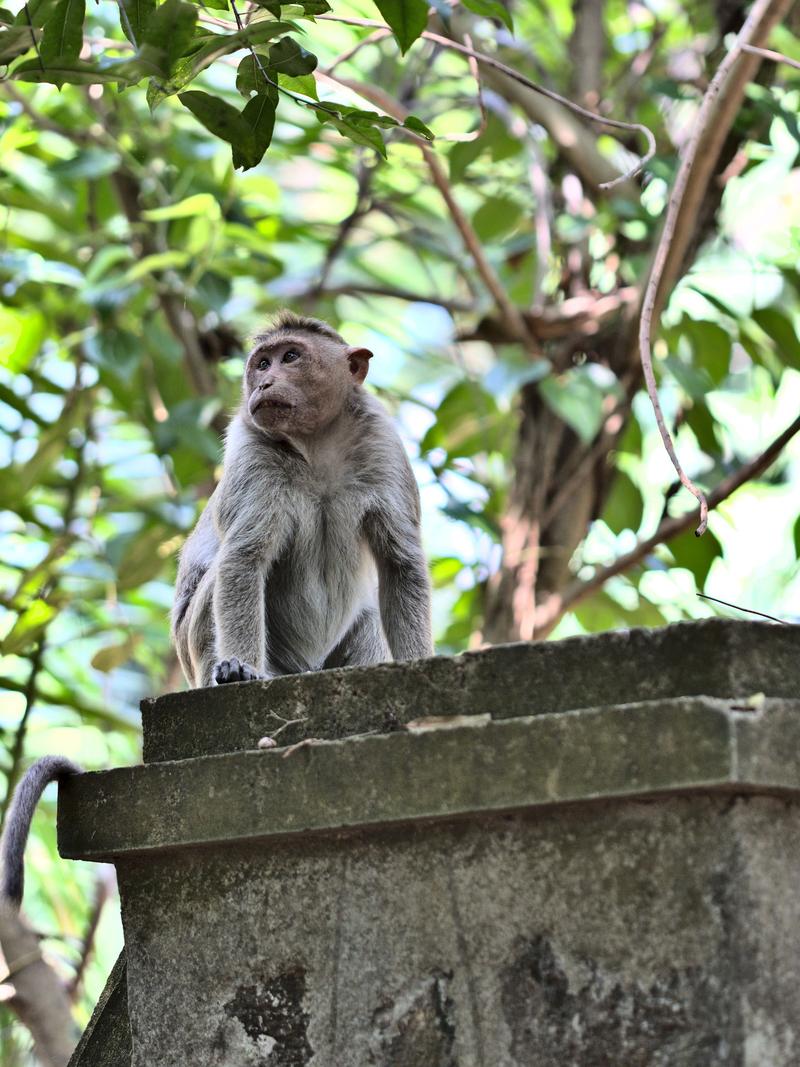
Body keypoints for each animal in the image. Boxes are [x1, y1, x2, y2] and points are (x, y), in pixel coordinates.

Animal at [169, 311, 433, 687]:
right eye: (263, 364)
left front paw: (418, 660)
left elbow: (400, 562)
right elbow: (242, 557)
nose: (264, 384)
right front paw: (238, 667)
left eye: (291, 357)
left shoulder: (384, 443)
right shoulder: (250, 449)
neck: (317, 443)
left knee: (368, 613)